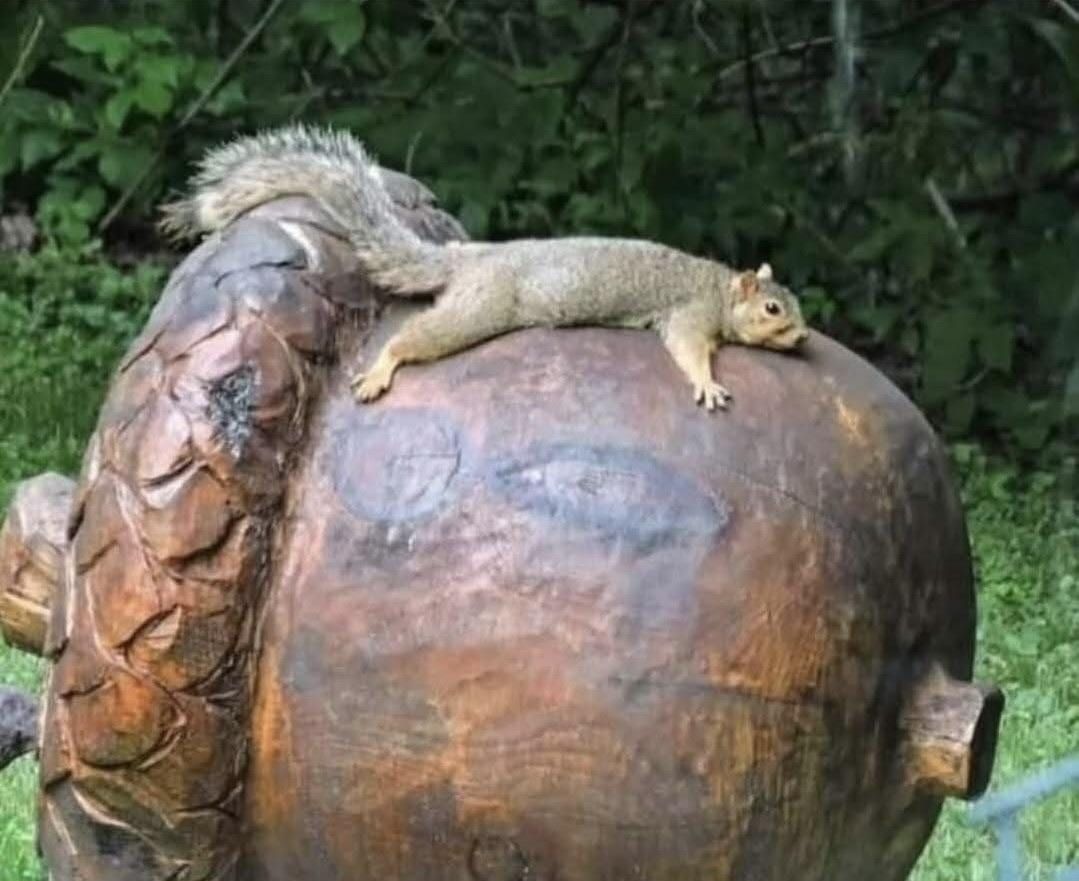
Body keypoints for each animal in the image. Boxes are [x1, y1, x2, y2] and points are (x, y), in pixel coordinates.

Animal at [161, 125, 809, 410]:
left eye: (798, 305)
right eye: (773, 308)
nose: (803, 338)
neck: (719, 287)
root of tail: (470, 259)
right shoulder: (689, 314)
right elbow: (688, 350)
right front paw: (706, 383)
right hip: (479, 309)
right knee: (415, 338)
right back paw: (381, 369)